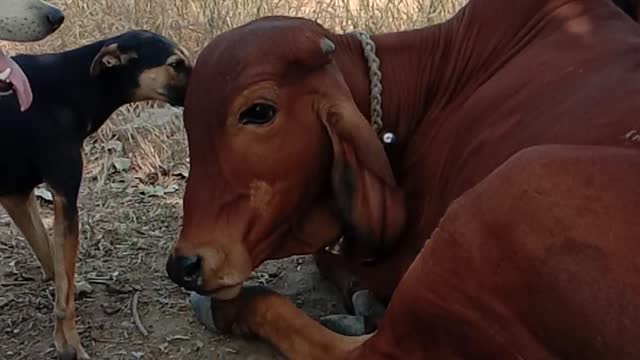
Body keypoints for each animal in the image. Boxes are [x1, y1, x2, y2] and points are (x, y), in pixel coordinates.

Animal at [0, 31, 191, 360]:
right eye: (175, 64)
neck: (73, 86)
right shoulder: (64, 197)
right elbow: (64, 293)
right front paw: (70, 342)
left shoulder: (17, 194)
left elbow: (50, 257)